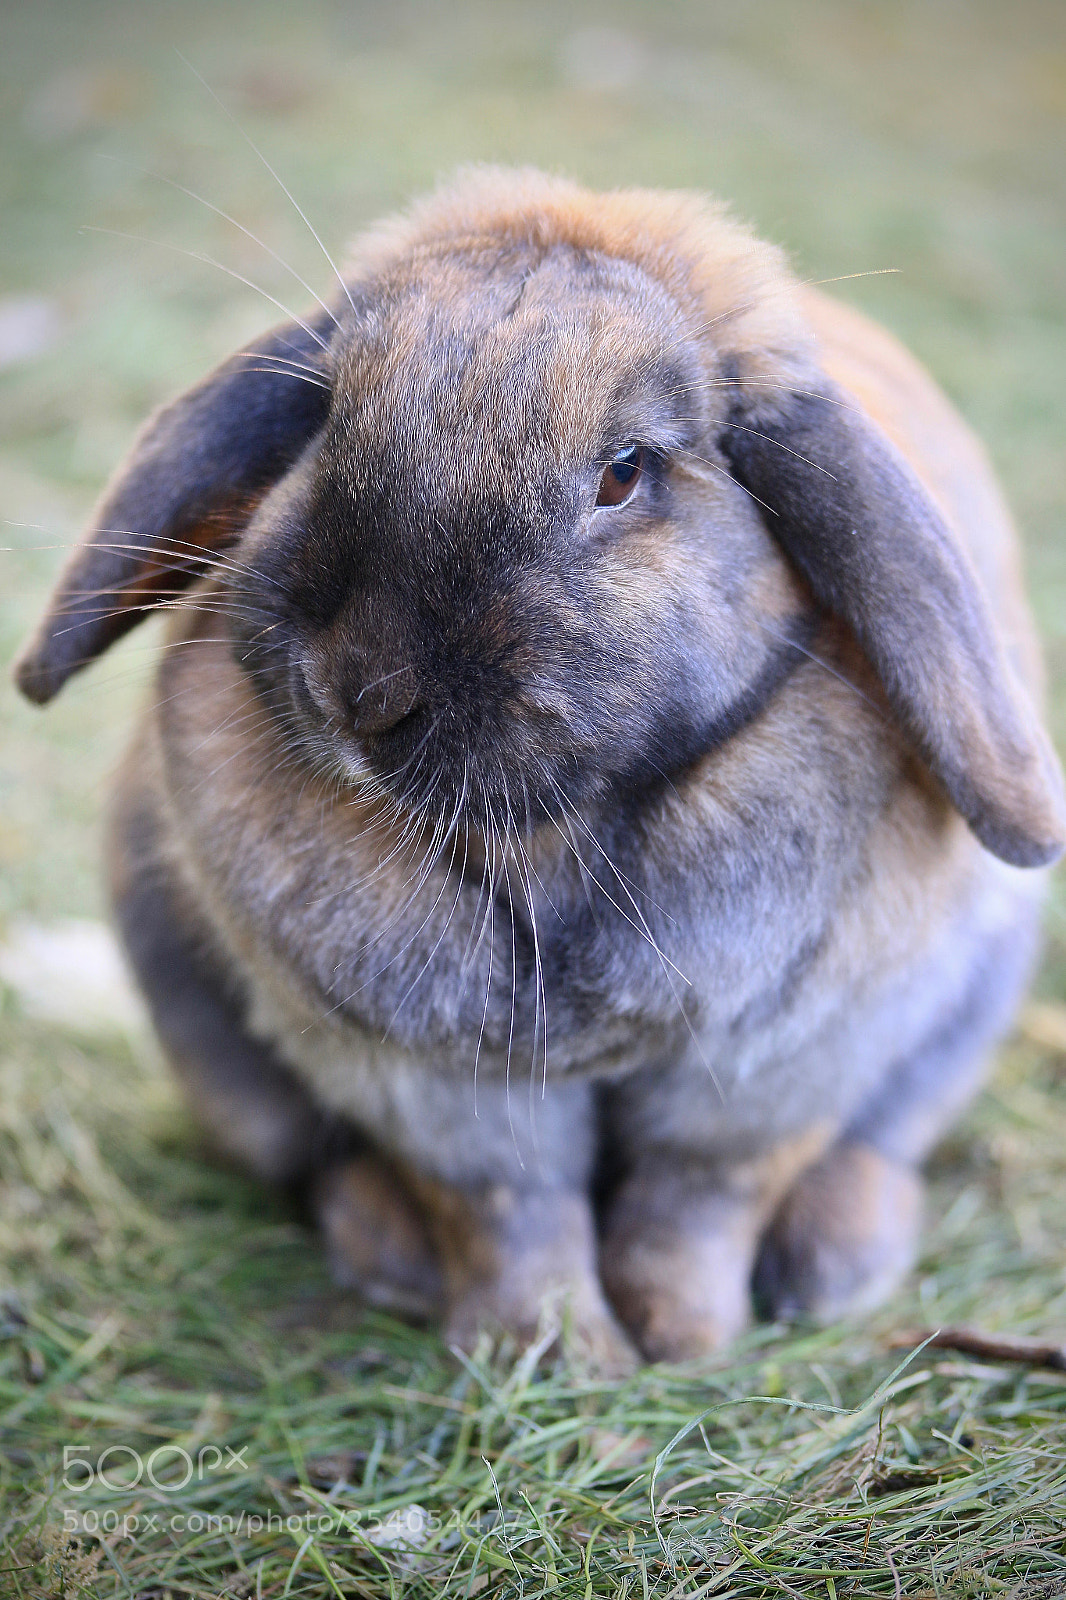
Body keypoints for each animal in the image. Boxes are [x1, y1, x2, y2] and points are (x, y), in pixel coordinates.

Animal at [15, 167, 1066, 1370]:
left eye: (624, 471)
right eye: (326, 418)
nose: (360, 688)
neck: (554, 837)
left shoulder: (771, 1074)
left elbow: (694, 1206)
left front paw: (682, 1340)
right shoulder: (442, 1089)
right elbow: (509, 1213)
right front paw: (556, 1353)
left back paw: (836, 1259)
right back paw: (390, 1255)